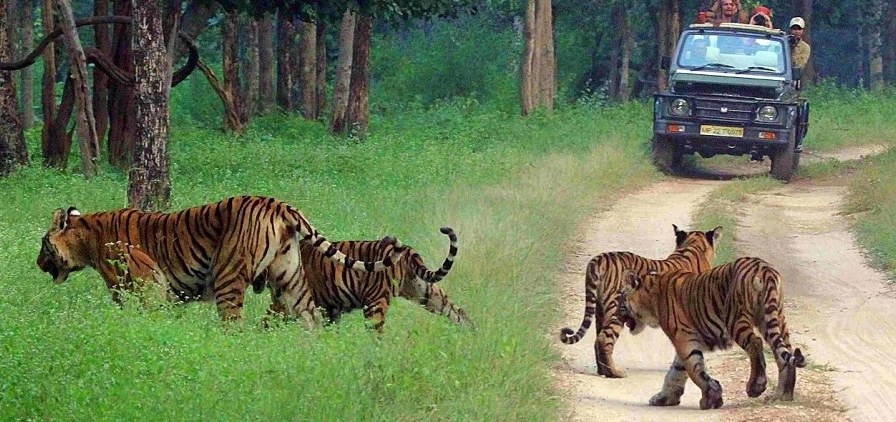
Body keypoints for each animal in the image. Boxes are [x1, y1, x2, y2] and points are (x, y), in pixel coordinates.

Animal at [36, 196, 406, 325]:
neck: (87, 237)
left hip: (229, 275)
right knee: (310, 319)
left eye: (43, 245)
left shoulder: (144, 284)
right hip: (291, 279)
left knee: (234, 323)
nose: (38, 264)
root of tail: (278, 204)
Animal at [259, 227, 470, 332]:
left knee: (376, 332)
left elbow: (266, 321)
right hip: (426, 291)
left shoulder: (284, 303)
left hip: (375, 301)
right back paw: (471, 336)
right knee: (458, 312)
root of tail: (408, 250)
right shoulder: (331, 309)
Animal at [559, 225, 721, 378]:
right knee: (604, 339)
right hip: (617, 309)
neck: (693, 246)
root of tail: (599, 259)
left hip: (600, 309)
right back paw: (615, 373)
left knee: (597, 339)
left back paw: (603, 371)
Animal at [617, 257, 806, 410]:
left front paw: (710, 399)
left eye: (621, 298)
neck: (651, 298)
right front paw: (664, 398)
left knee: (755, 343)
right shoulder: (686, 340)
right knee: (785, 353)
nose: (617, 315)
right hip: (774, 318)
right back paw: (782, 395)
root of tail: (763, 267)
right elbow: (677, 370)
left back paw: (756, 386)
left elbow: (695, 370)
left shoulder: (683, 338)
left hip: (735, 318)